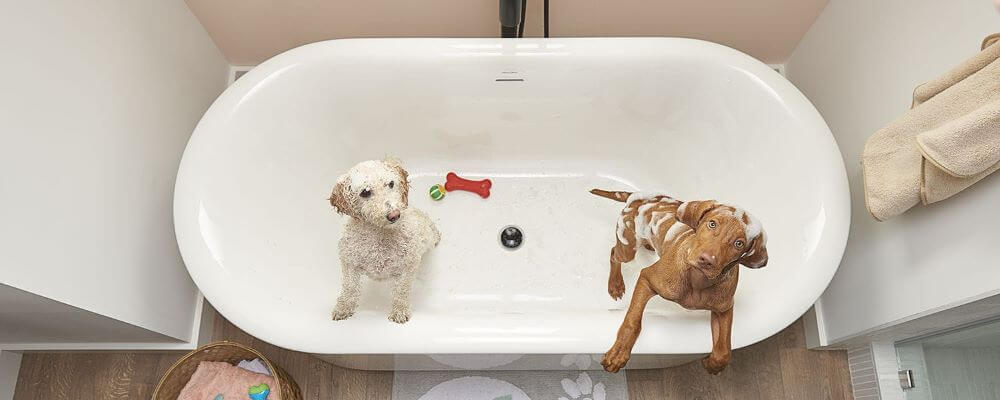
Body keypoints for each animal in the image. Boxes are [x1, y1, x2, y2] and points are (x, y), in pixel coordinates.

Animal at [330, 158, 440, 324]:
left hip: (427, 235)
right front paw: (343, 308)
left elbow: (401, 291)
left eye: (391, 183)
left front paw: (399, 311)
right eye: (365, 192)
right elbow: (349, 288)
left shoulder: (408, 266)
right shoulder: (349, 262)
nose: (394, 214)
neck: (380, 234)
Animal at [588, 189, 768, 374]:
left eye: (739, 243)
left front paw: (713, 364)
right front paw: (619, 353)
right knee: (614, 253)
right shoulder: (647, 279)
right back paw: (615, 284)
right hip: (628, 246)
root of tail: (640, 196)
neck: (697, 281)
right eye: (712, 224)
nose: (706, 260)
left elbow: (724, 350)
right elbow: (633, 322)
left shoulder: (724, 309)